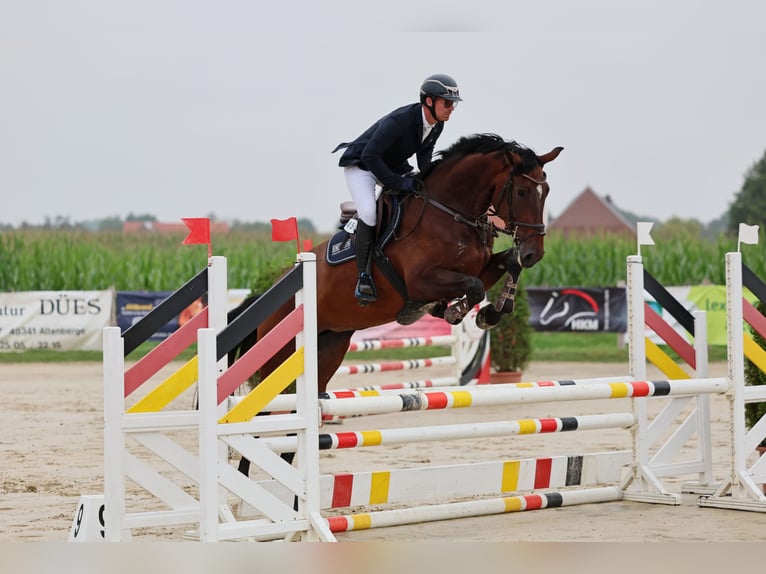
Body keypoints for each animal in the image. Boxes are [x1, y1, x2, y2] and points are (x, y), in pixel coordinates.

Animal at [240, 134, 564, 396]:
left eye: (546, 191)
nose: (534, 253)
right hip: (278, 358)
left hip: (330, 347)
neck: (450, 212)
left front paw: (490, 313)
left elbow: (506, 266)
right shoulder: (420, 282)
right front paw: (453, 311)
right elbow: (472, 288)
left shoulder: (477, 269)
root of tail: (268, 291)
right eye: (521, 192)